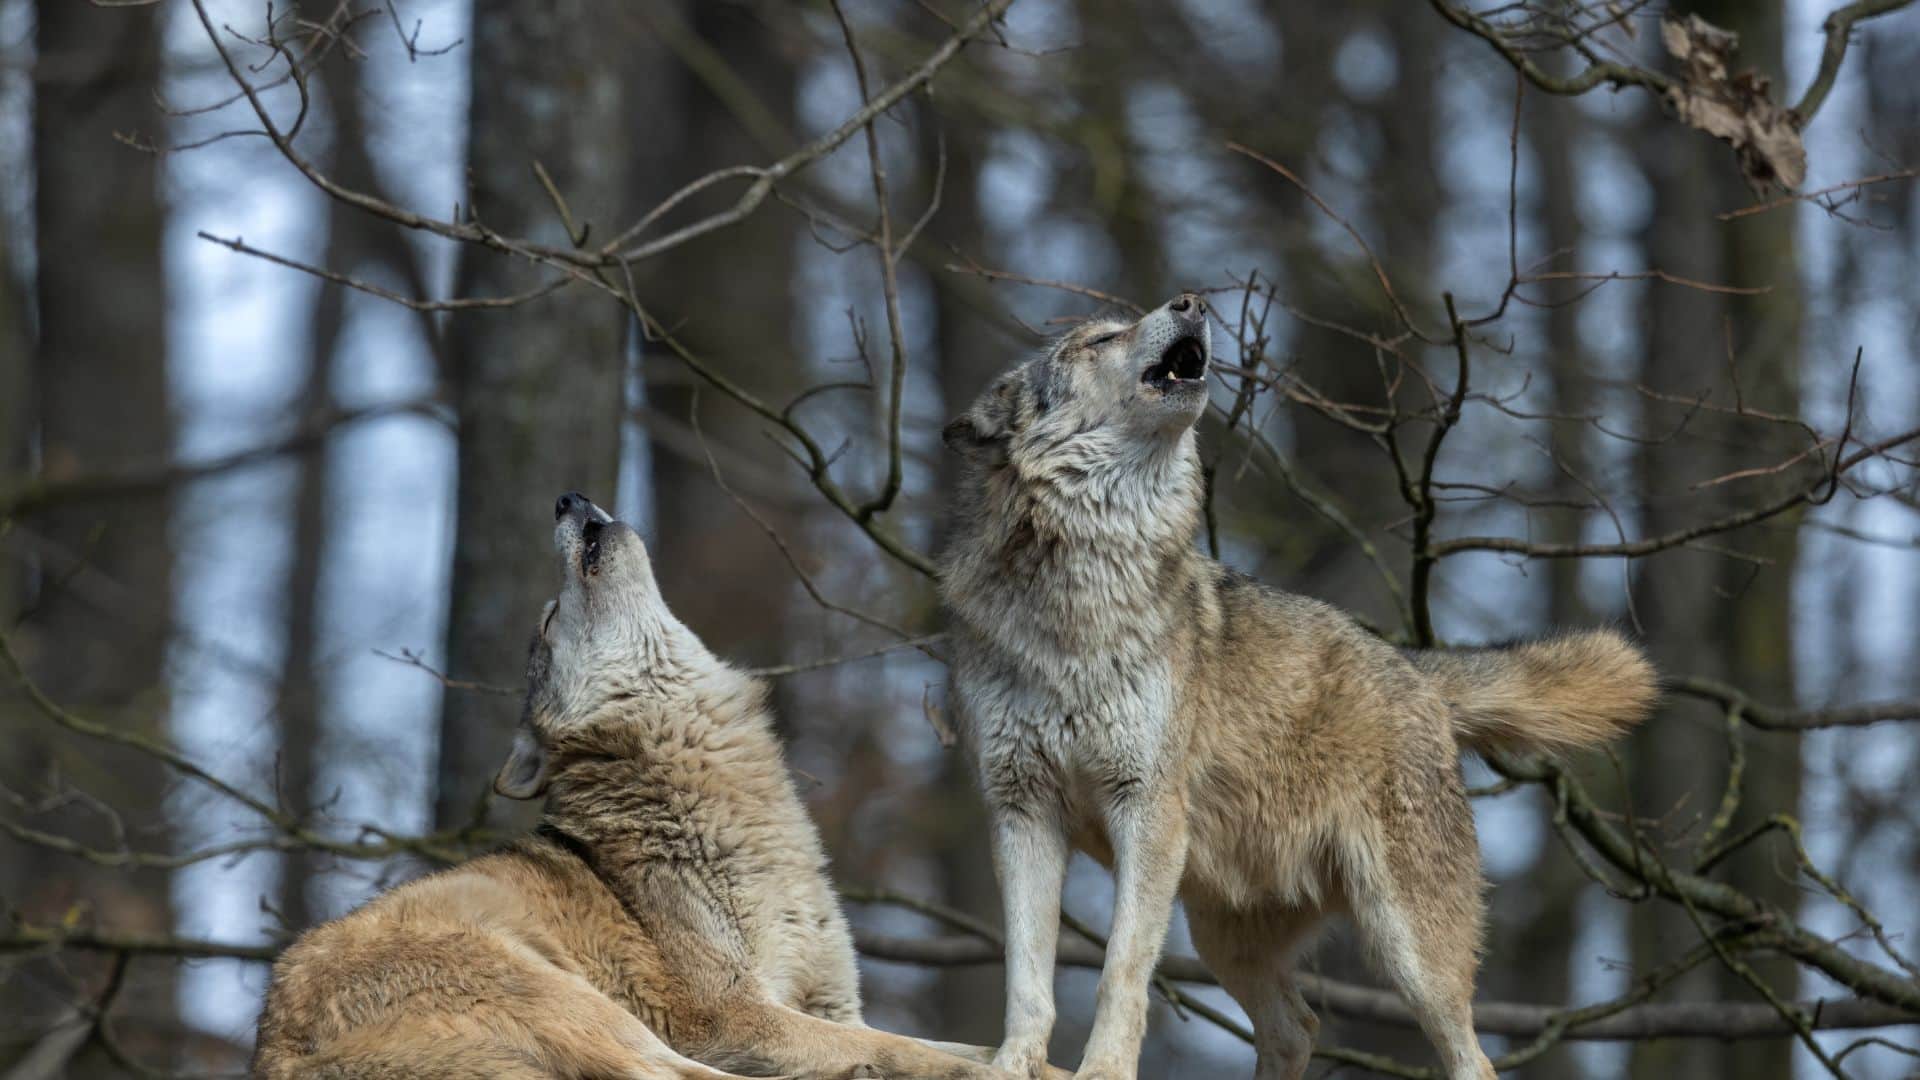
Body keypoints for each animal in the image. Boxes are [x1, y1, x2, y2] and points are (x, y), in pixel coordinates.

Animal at [254, 492, 1052, 1080]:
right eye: (550, 618)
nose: (567, 497)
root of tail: (279, 1056)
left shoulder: (833, 1004)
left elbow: (947, 1043)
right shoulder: (733, 1015)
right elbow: (908, 1048)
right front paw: (986, 1069)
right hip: (560, 992)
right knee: (678, 1075)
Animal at [938, 295, 1658, 1080]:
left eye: (1121, 325)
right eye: (1101, 338)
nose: (1192, 301)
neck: (1078, 595)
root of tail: (1417, 668)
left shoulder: (1146, 808)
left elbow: (1119, 972)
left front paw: (1102, 1072)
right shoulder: (1021, 810)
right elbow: (1025, 975)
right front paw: (1010, 1061)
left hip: (1410, 952)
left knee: (1470, 1057)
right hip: (1220, 928)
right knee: (1298, 1026)